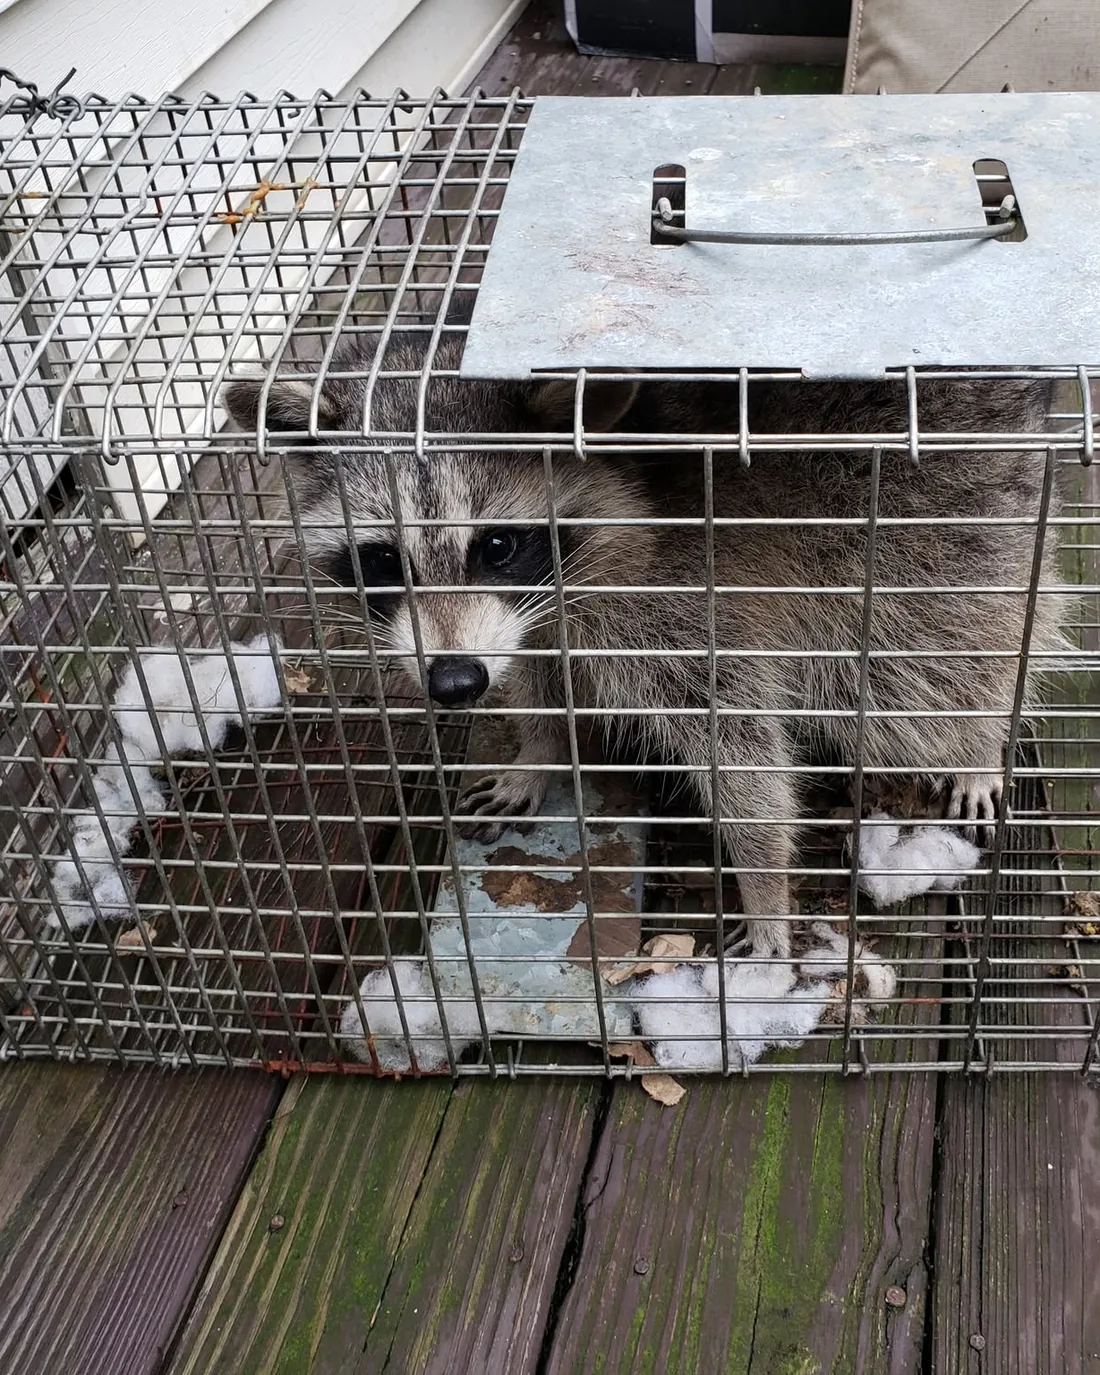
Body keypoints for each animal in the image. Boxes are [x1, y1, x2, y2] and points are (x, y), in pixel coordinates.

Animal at [223, 324, 1066, 960]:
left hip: (939, 514)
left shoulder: (686, 605)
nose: (455, 683)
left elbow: (742, 752)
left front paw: (765, 887)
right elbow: (536, 678)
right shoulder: (527, 624)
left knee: (932, 655)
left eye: (496, 545)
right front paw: (538, 748)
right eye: (382, 559)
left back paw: (978, 737)